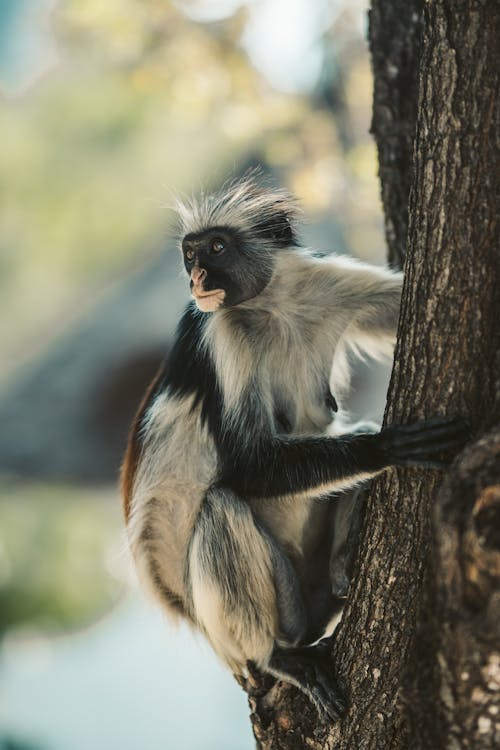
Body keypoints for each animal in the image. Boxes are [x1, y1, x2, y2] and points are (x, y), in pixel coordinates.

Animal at [121, 172, 468, 724]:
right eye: (189, 255)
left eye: (216, 248)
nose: (197, 278)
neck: (273, 305)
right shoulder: (215, 332)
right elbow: (247, 466)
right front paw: (386, 447)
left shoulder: (325, 281)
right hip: (283, 610)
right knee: (220, 505)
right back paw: (277, 656)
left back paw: (343, 566)